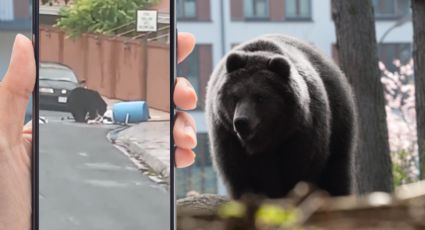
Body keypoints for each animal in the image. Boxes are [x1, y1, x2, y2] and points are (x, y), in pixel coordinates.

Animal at [204, 34, 356, 199]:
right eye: (235, 97)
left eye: (260, 97)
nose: (241, 122)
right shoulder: (227, 136)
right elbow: (239, 174)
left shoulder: (300, 134)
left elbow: (298, 170)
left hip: (339, 124)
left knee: (337, 168)